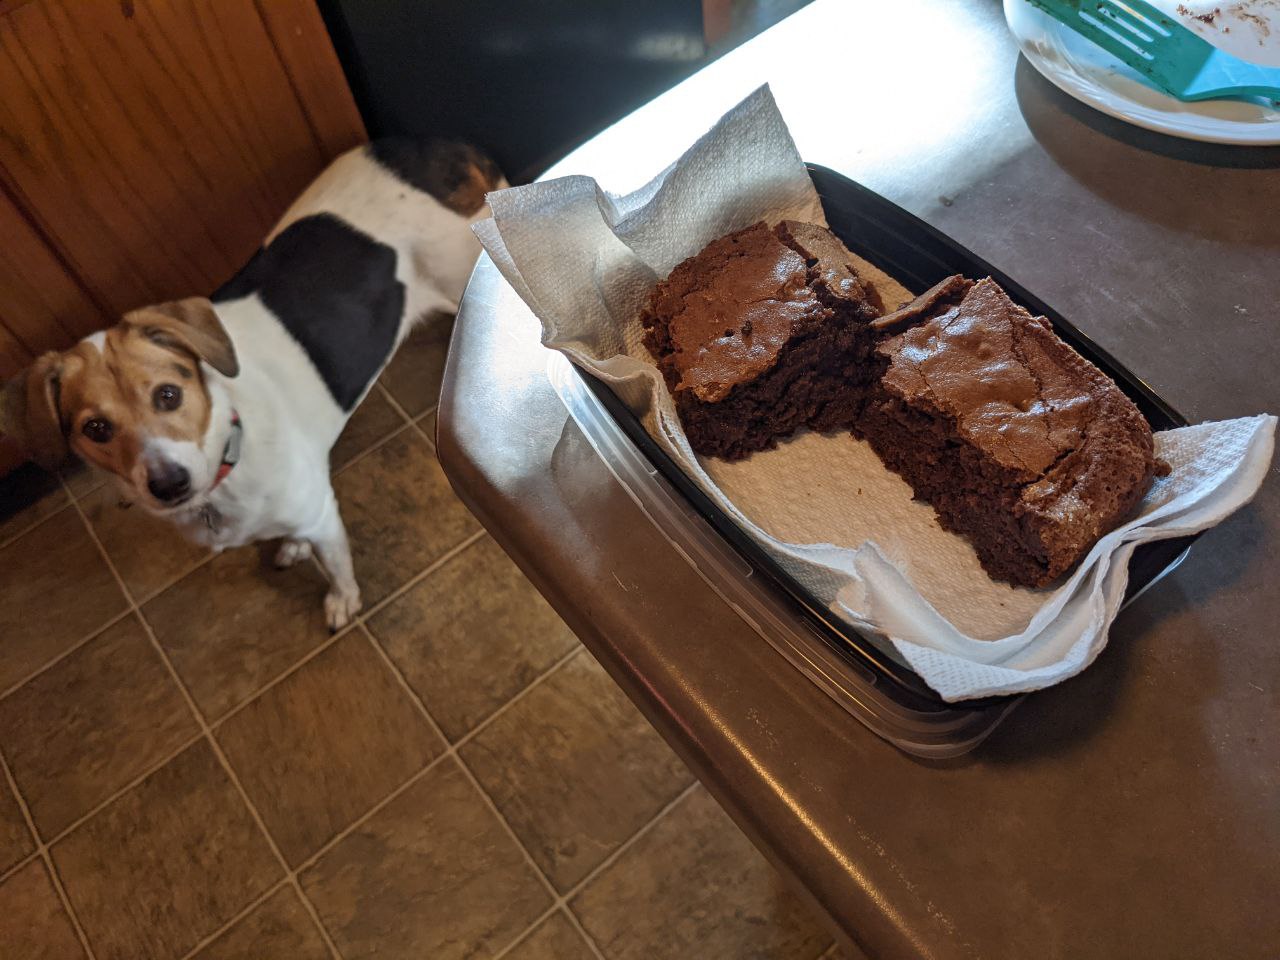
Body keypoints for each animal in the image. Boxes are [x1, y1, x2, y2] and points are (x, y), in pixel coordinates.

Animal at [0, 136, 504, 632]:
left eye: (168, 395)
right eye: (96, 429)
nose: (169, 484)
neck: (229, 437)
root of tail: (443, 146)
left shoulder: (321, 517)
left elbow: (336, 566)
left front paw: (342, 599)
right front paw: (294, 548)